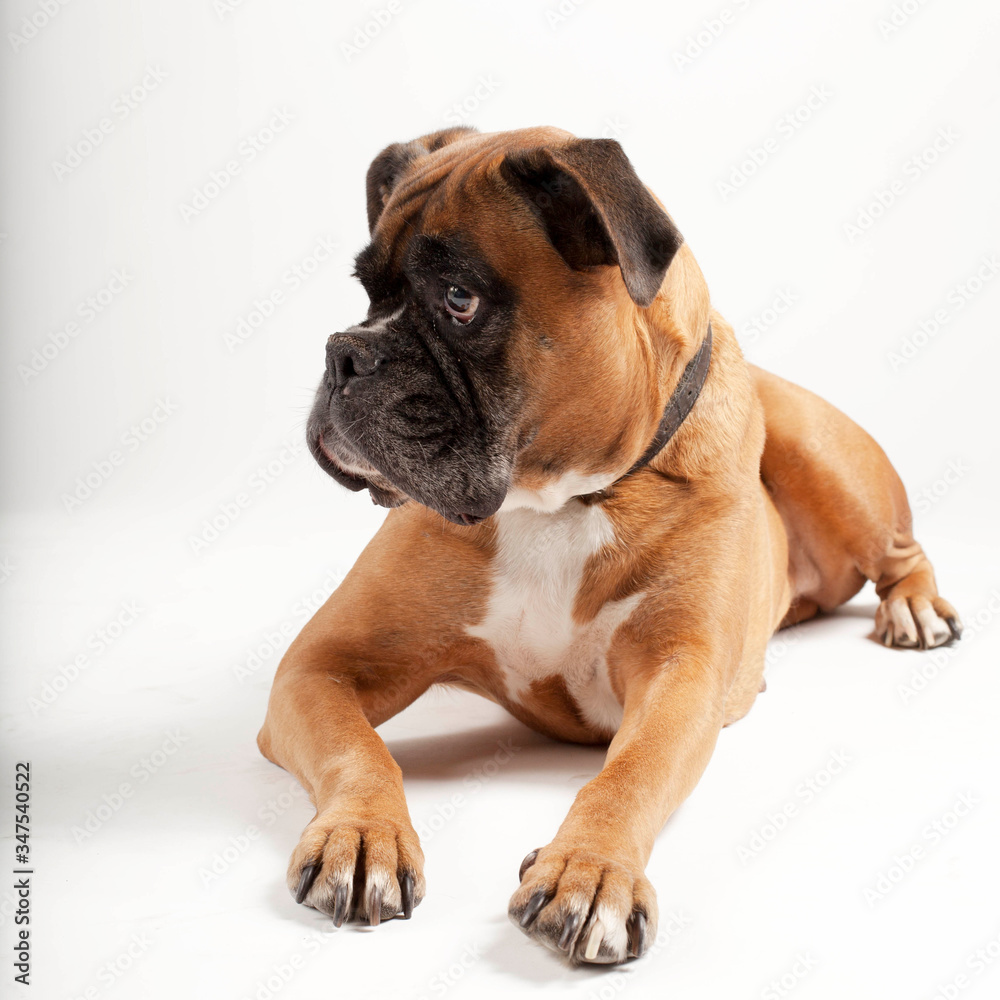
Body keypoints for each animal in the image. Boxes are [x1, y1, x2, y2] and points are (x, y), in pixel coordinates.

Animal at [258, 125, 960, 960]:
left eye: (459, 299)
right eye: (368, 291)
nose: (344, 351)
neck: (559, 500)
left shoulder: (677, 677)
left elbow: (627, 777)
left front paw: (590, 871)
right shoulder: (319, 669)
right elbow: (358, 751)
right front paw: (361, 832)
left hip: (814, 446)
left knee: (898, 553)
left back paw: (915, 609)